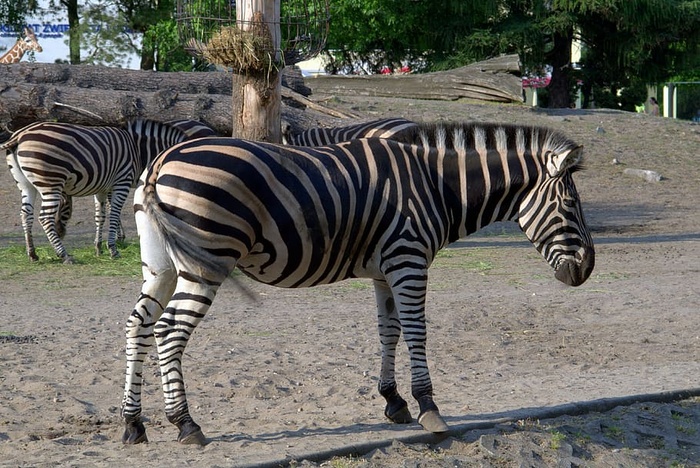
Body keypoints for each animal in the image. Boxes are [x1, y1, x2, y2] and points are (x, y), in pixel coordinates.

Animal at [2, 119, 213, 262]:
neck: (139, 150)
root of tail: (19, 135)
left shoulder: (103, 187)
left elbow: (100, 216)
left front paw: (98, 248)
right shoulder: (122, 182)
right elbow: (114, 215)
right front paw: (113, 249)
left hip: (26, 184)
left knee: (26, 215)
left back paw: (32, 254)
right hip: (51, 182)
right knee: (44, 217)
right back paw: (64, 255)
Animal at [120, 119, 596, 442]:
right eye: (570, 205)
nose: (587, 270)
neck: (436, 186)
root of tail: (161, 160)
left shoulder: (387, 270)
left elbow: (389, 331)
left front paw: (394, 401)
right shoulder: (409, 260)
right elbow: (417, 332)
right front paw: (429, 408)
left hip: (161, 264)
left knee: (139, 324)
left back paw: (133, 423)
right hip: (206, 261)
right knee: (169, 330)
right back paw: (186, 424)